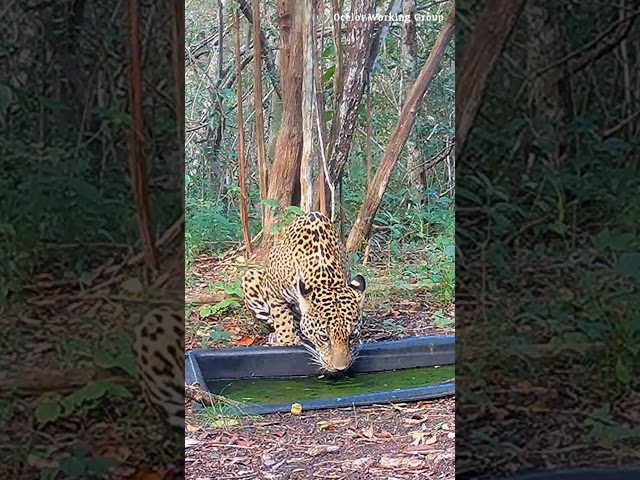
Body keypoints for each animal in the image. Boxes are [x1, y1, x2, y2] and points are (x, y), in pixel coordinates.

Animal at [241, 211, 366, 372]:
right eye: (324, 337)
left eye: (351, 336)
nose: (341, 369)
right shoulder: (273, 288)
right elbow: (281, 317)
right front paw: (287, 340)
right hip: (251, 277)